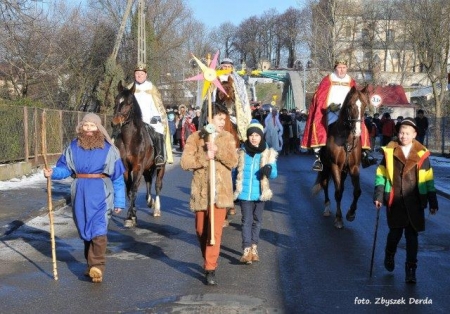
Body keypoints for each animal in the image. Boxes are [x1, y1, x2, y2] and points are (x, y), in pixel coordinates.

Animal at [111, 81, 166, 228]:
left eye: (129, 102)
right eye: (116, 100)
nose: (114, 122)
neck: (130, 140)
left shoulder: (137, 167)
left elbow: (134, 189)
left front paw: (131, 217)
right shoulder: (126, 168)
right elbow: (129, 190)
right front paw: (132, 215)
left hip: (160, 168)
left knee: (157, 185)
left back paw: (157, 209)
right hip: (147, 168)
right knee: (148, 181)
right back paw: (149, 201)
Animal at [312, 85, 370, 228]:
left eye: (365, 105)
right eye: (350, 106)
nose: (357, 131)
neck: (346, 140)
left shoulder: (354, 167)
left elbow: (357, 191)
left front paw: (351, 213)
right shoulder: (335, 166)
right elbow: (338, 192)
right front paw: (338, 218)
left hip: (344, 171)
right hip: (326, 168)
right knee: (325, 184)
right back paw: (327, 208)